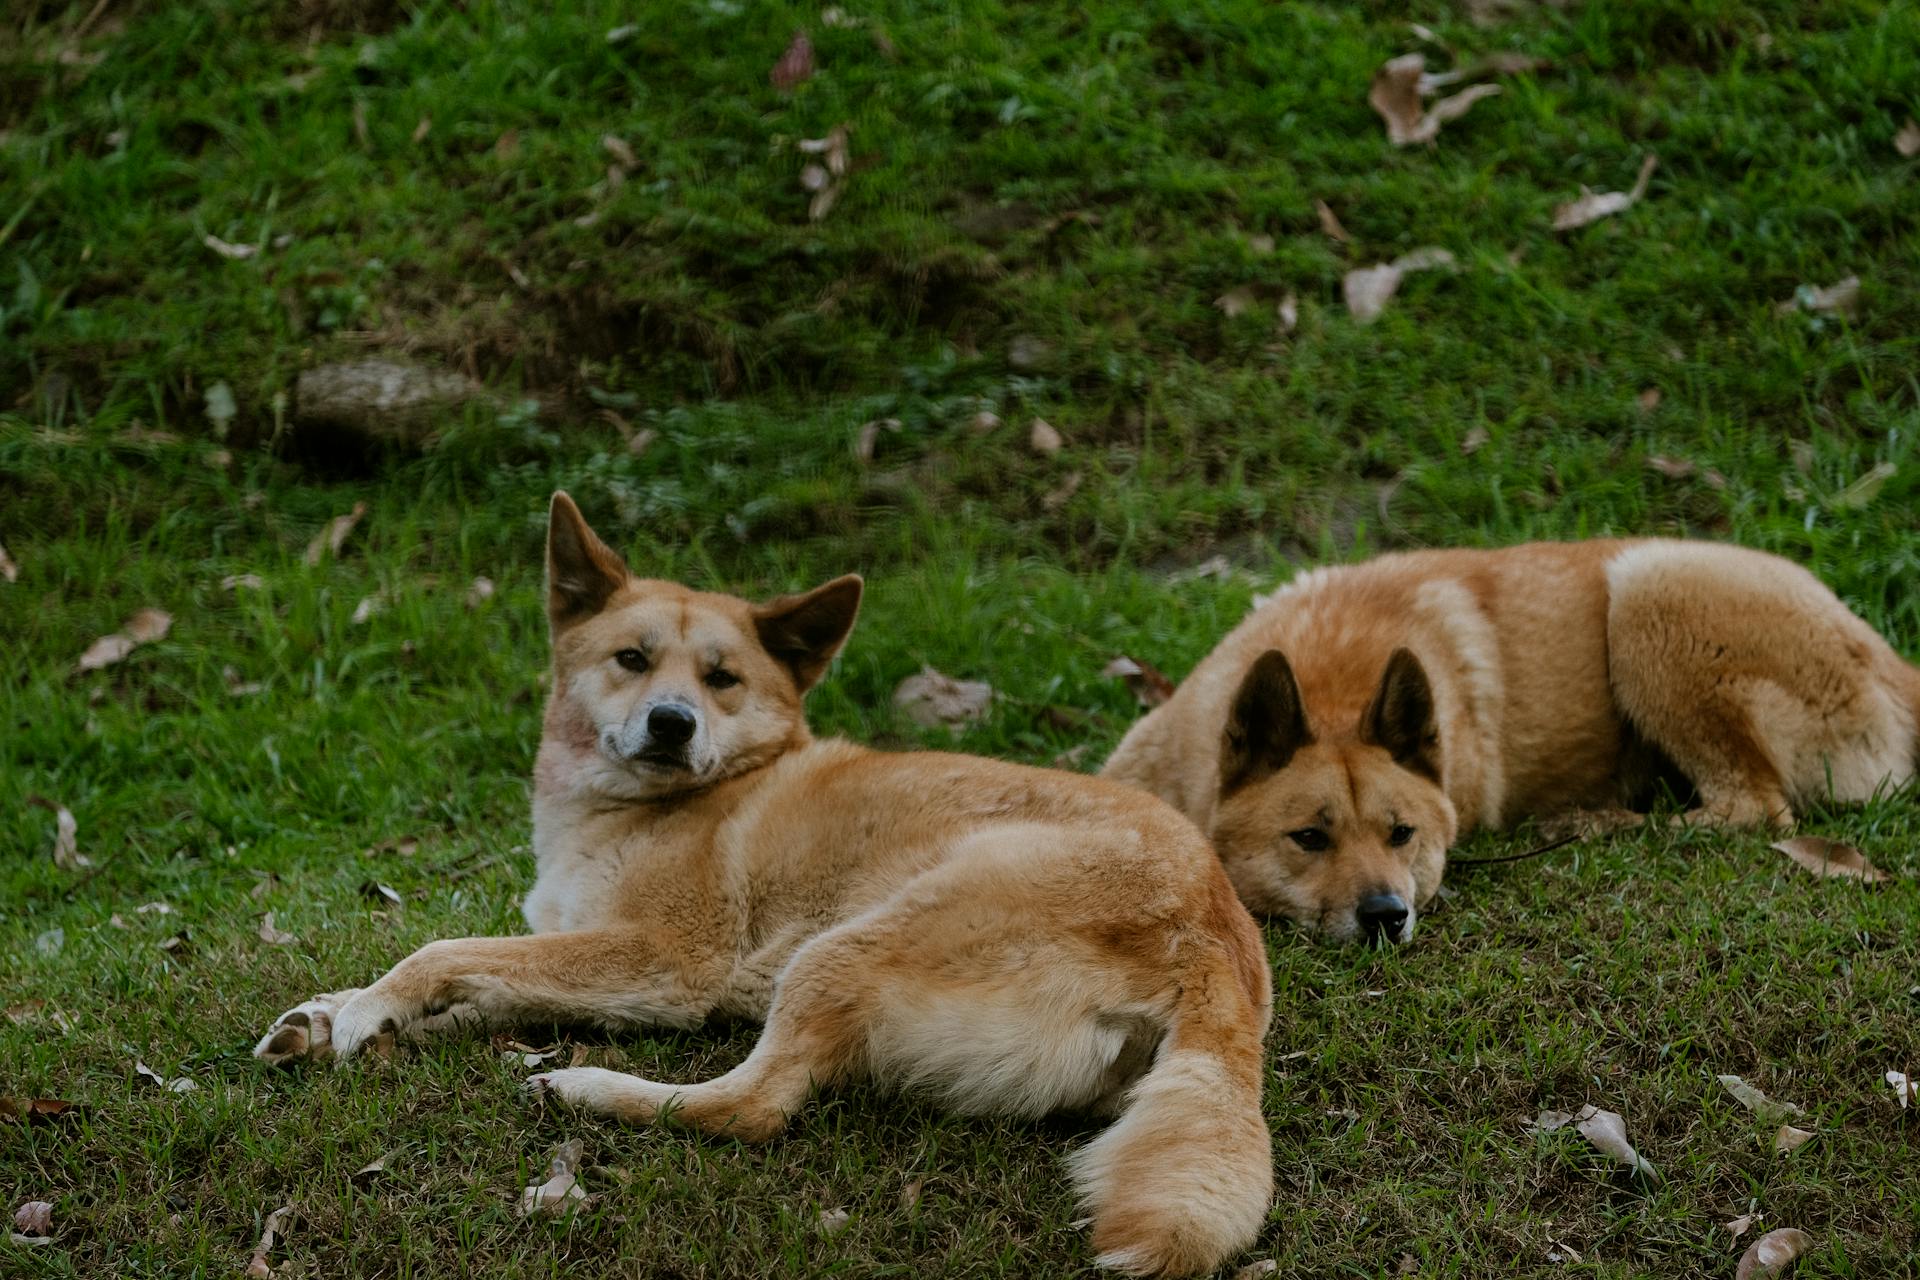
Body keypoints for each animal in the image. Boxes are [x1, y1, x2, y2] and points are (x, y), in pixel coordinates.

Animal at [255, 495, 1274, 1280]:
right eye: (631, 659)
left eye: (722, 678)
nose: (672, 722)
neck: (642, 807)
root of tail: (1216, 943)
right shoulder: (594, 957)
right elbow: (487, 984)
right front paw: (338, 1019)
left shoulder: (667, 963)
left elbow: (442, 949)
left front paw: (371, 1007)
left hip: (837, 948)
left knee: (752, 1107)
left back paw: (585, 1088)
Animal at [1098, 537, 1920, 948]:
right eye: (1308, 838)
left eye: (1402, 834)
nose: (1386, 915)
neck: (1332, 680)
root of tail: (1891, 659)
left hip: (1648, 590)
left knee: (1749, 808)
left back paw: (1590, 821)